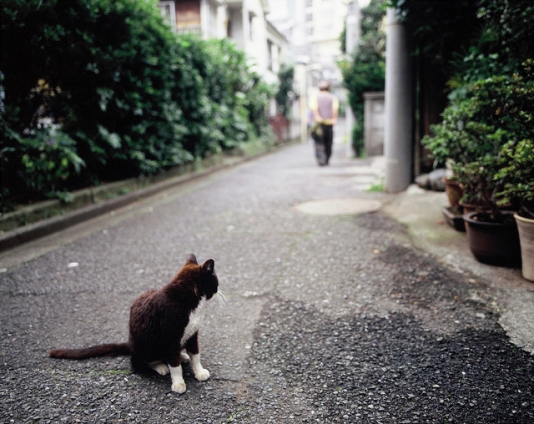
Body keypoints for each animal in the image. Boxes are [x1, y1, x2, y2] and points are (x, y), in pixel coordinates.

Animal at [48, 252, 220, 394]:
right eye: (216, 281)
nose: (218, 290)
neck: (190, 302)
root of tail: (129, 344)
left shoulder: (192, 333)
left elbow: (195, 354)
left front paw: (199, 371)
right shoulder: (169, 336)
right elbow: (175, 365)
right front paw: (178, 383)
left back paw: (182, 356)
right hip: (145, 346)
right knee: (139, 362)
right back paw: (160, 366)